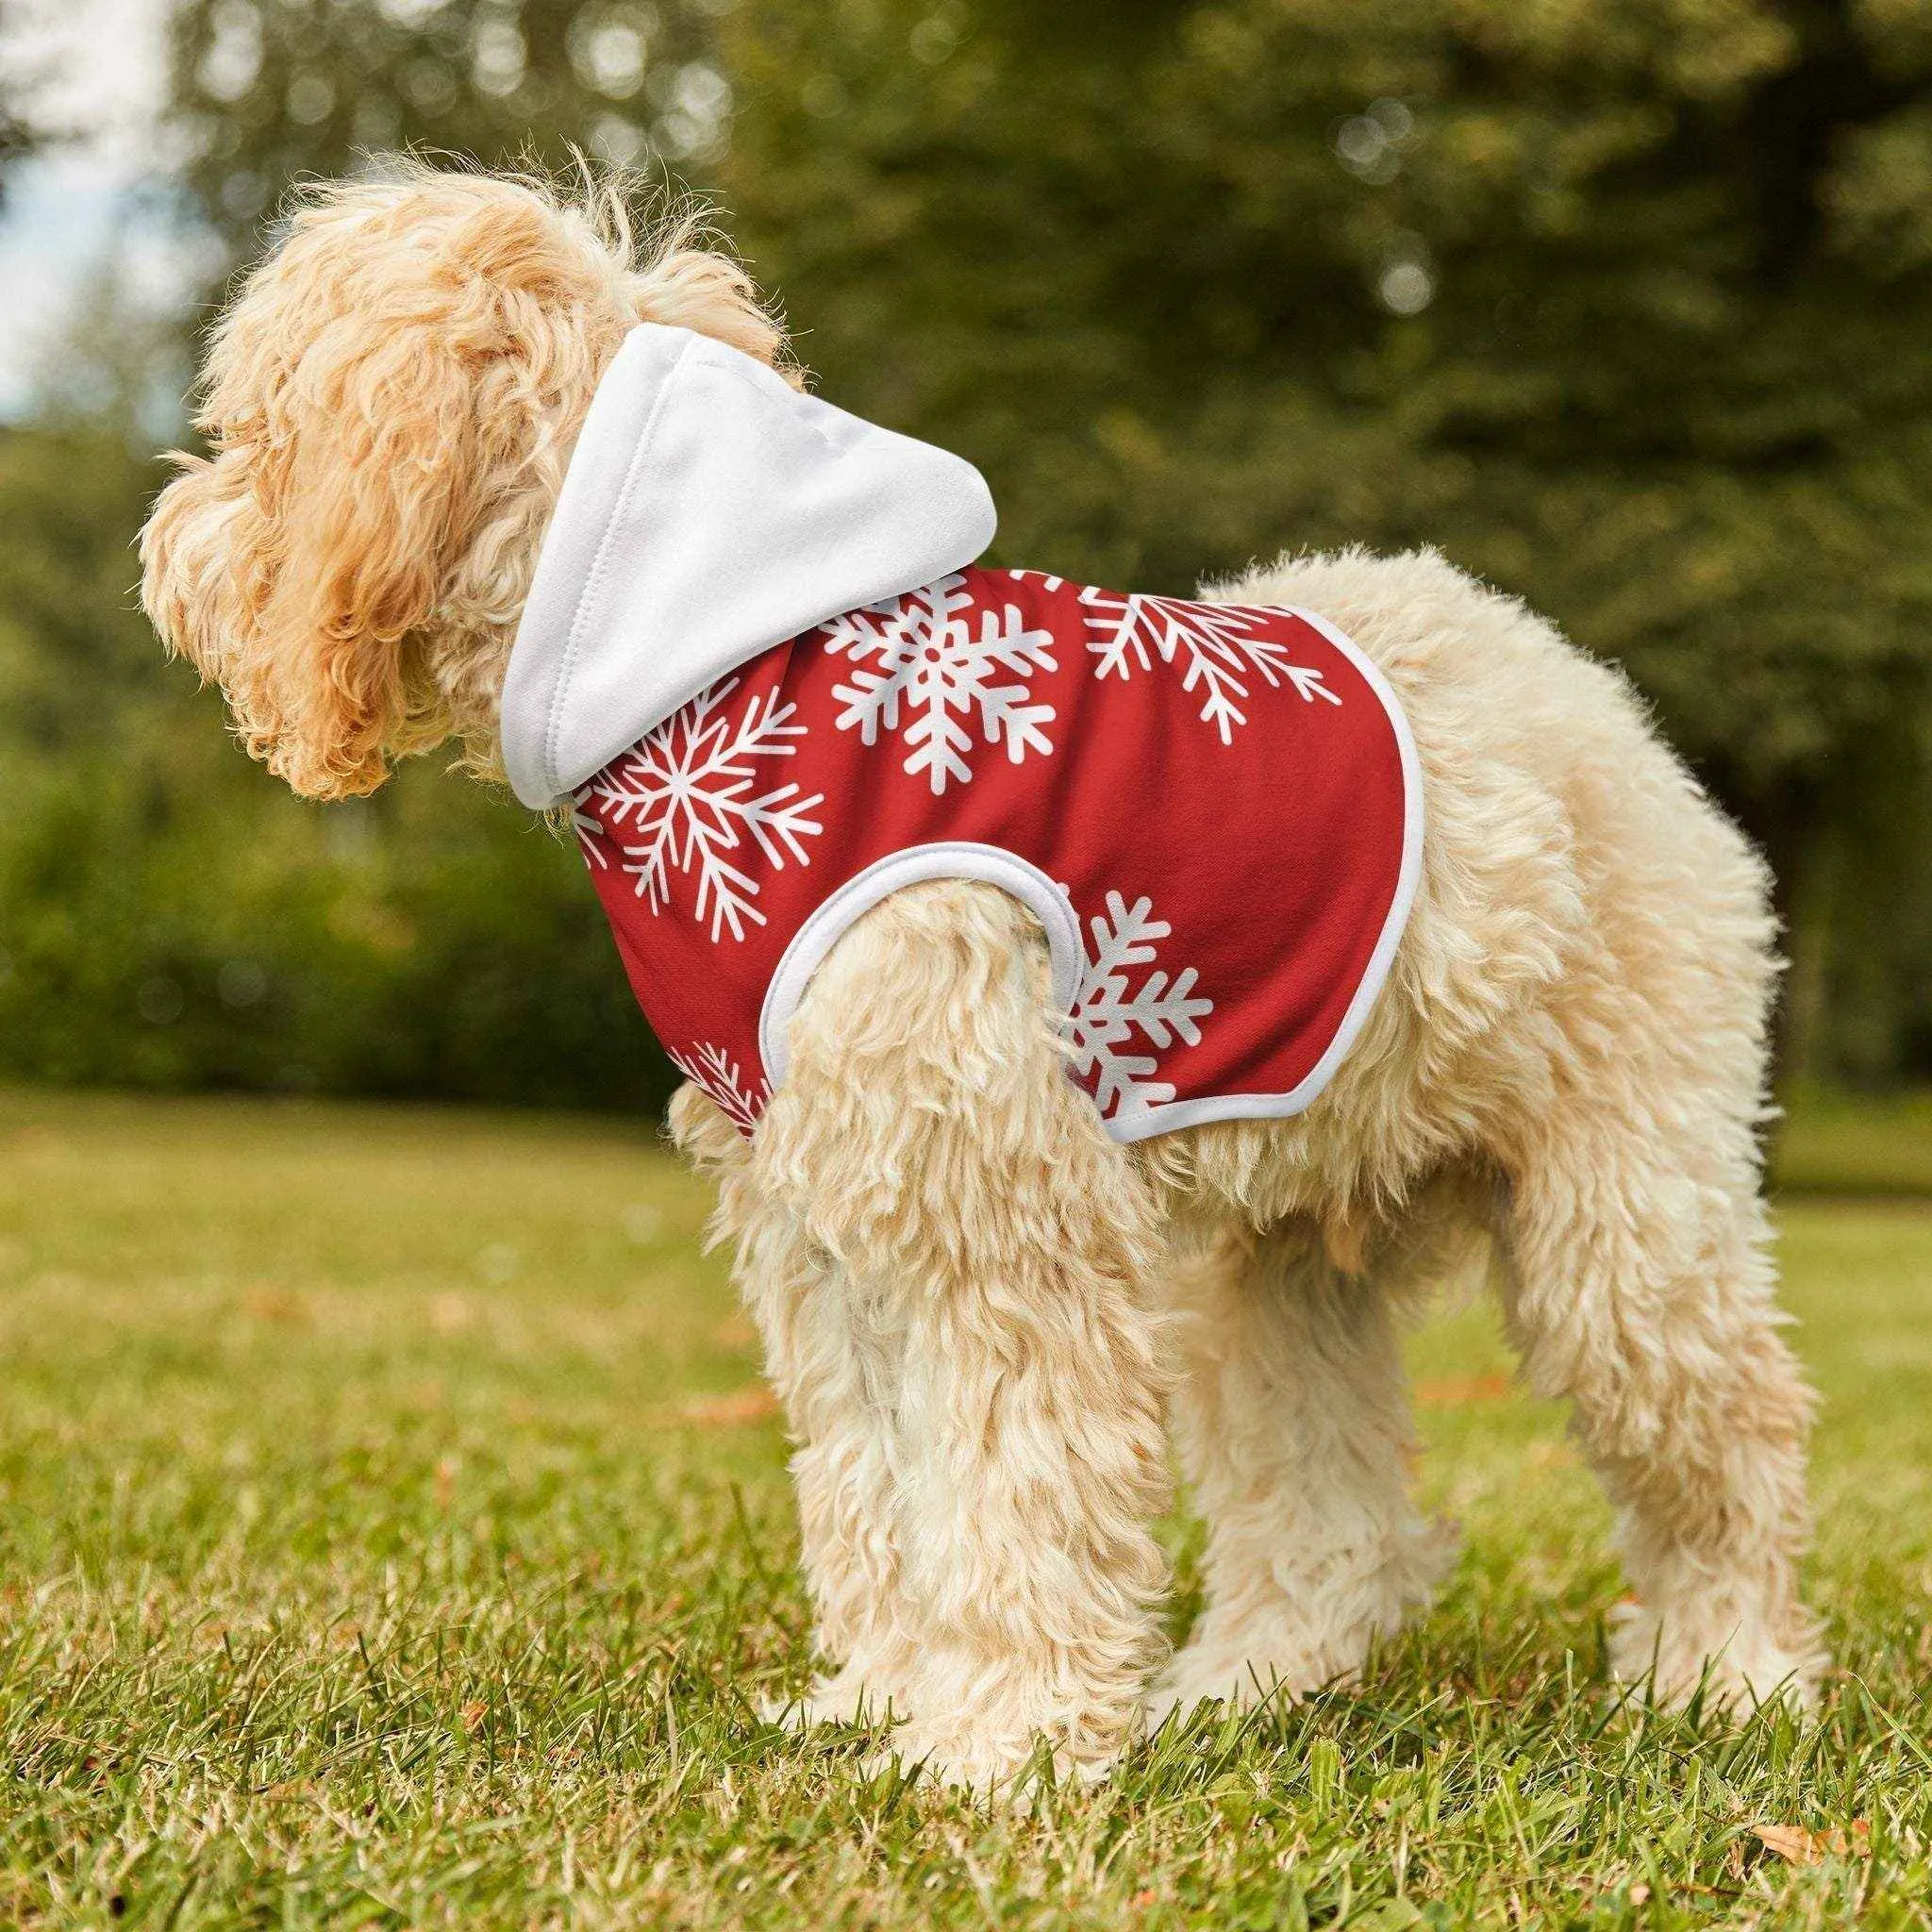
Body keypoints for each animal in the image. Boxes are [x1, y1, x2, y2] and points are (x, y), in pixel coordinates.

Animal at [146, 166, 1824, 1792]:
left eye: (253, 432)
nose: (167, 546)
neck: (718, 676)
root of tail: (1590, 696)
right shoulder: (822, 1221)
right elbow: (878, 1486)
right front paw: (887, 1702)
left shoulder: (995, 1213)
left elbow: (1016, 1485)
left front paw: (998, 1745)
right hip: (1271, 1269)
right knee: (1330, 1513)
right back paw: (1244, 1687)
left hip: (1623, 1222)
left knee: (1730, 1441)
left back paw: (1726, 1677)